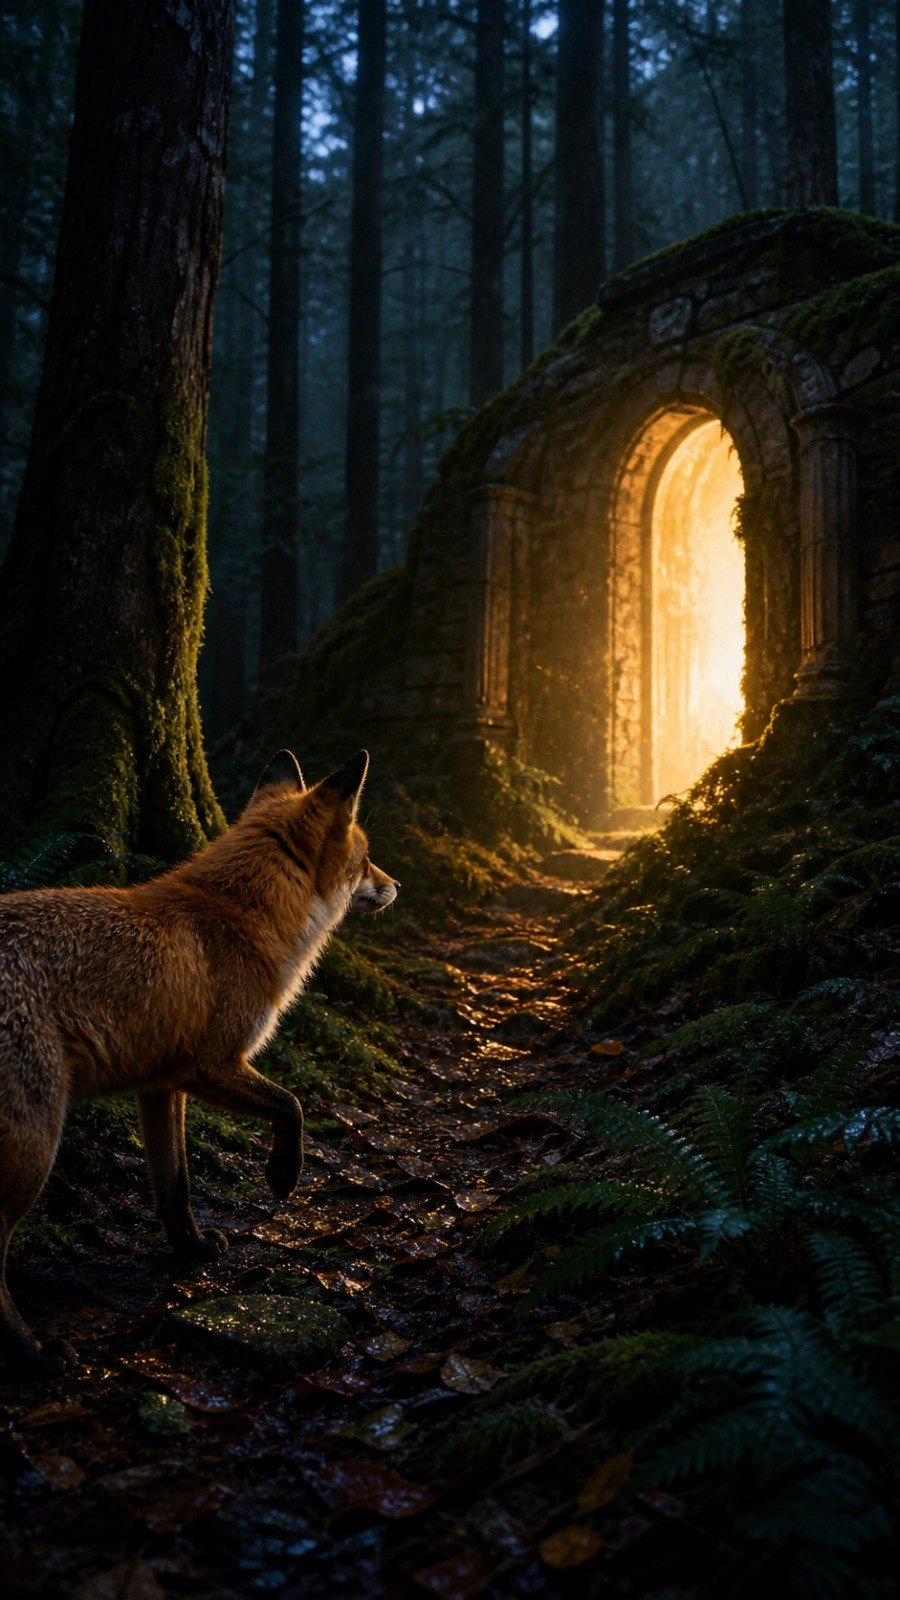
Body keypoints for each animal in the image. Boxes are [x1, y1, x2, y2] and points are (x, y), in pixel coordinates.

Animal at [0, 748, 398, 1375]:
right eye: (364, 857)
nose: (395, 884)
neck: (241, 915)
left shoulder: (159, 1084)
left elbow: (176, 1184)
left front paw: (189, 1249)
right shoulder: (211, 1065)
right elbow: (293, 1105)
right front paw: (284, 1175)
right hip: (35, 1146)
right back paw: (34, 1355)